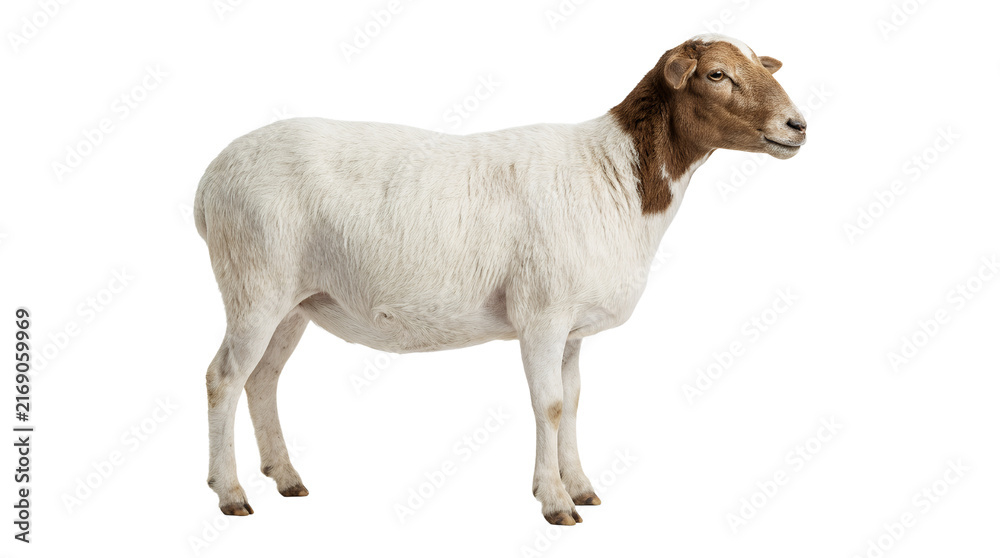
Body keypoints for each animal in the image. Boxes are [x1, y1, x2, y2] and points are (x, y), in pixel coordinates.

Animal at [195, 33, 807, 525]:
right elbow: (550, 405)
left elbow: (574, 401)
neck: (620, 177)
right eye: (716, 74)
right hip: (254, 284)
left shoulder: (572, 330)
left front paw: (579, 488)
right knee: (224, 378)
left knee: (263, 379)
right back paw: (230, 494)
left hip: (293, 302)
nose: (798, 125)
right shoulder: (542, 314)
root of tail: (209, 181)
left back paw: (285, 477)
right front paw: (555, 503)